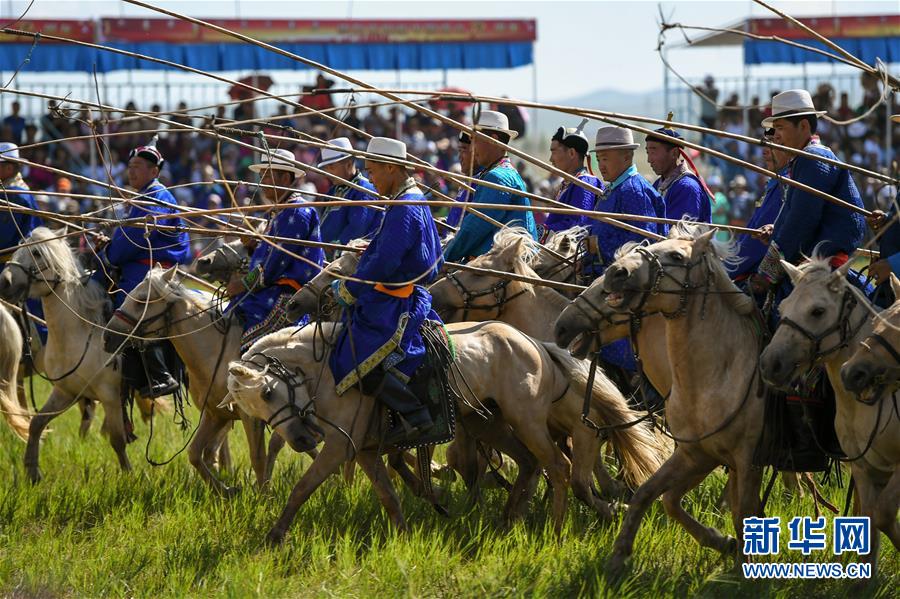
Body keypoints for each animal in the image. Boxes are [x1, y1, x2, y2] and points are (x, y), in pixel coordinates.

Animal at [100, 268, 284, 496]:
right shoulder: (215, 414)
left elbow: (258, 458)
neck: (216, 351)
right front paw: (225, 490)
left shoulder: (250, 416)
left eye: (142, 300)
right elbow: (195, 454)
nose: (107, 337)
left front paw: (263, 497)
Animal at [596, 225, 764, 576]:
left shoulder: (748, 460)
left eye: (676, 255)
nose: (616, 272)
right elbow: (656, 496)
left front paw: (745, 569)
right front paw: (618, 557)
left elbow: (744, 512)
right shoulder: (697, 455)